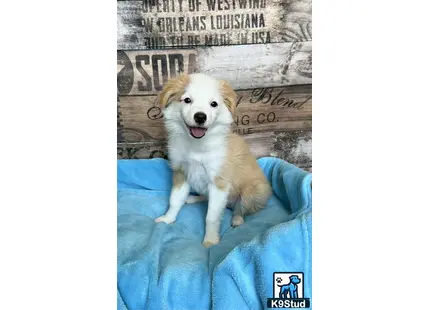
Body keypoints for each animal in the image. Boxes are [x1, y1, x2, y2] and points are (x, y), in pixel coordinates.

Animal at [153, 72, 270, 247]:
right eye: (187, 100)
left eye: (213, 104)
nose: (200, 117)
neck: (196, 145)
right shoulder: (181, 173)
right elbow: (174, 200)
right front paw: (168, 219)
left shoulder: (219, 183)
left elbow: (212, 217)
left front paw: (210, 241)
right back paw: (193, 198)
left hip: (253, 191)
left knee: (241, 208)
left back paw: (237, 219)